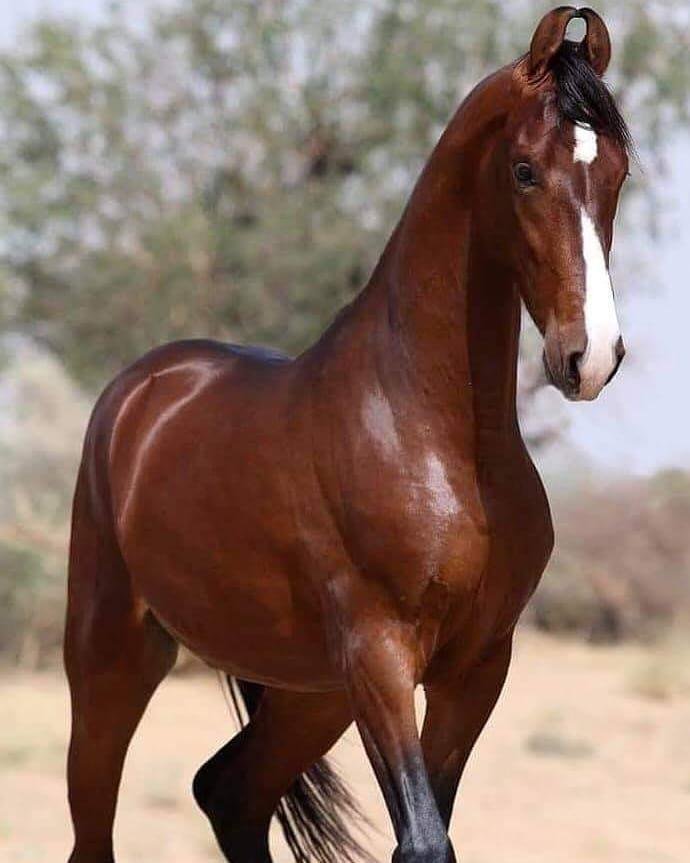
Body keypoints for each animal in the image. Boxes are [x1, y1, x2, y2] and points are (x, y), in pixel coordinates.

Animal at [64, 7, 631, 863]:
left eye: (620, 172)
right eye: (526, 170)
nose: (590, 357)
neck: (434, 432)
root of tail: (141, 393)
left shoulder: (476, 667)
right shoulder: (382, 655)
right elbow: (424, 840)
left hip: (310, 694)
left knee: (229, 791)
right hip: (114, 661)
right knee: (100, 825)